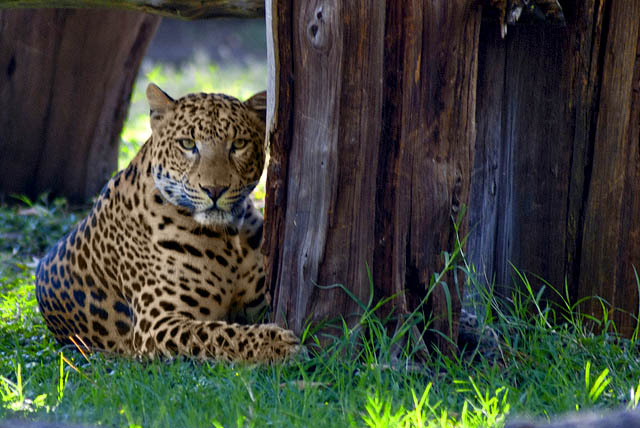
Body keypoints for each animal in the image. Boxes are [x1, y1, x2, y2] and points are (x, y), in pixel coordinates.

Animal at [34, 83, 300, 362]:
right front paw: (277, 344)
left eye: (238, 144)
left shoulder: (259, 300)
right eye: (187, 144)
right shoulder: (156, 325)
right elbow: (218, 334)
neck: (227, 237)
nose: (214, 190)